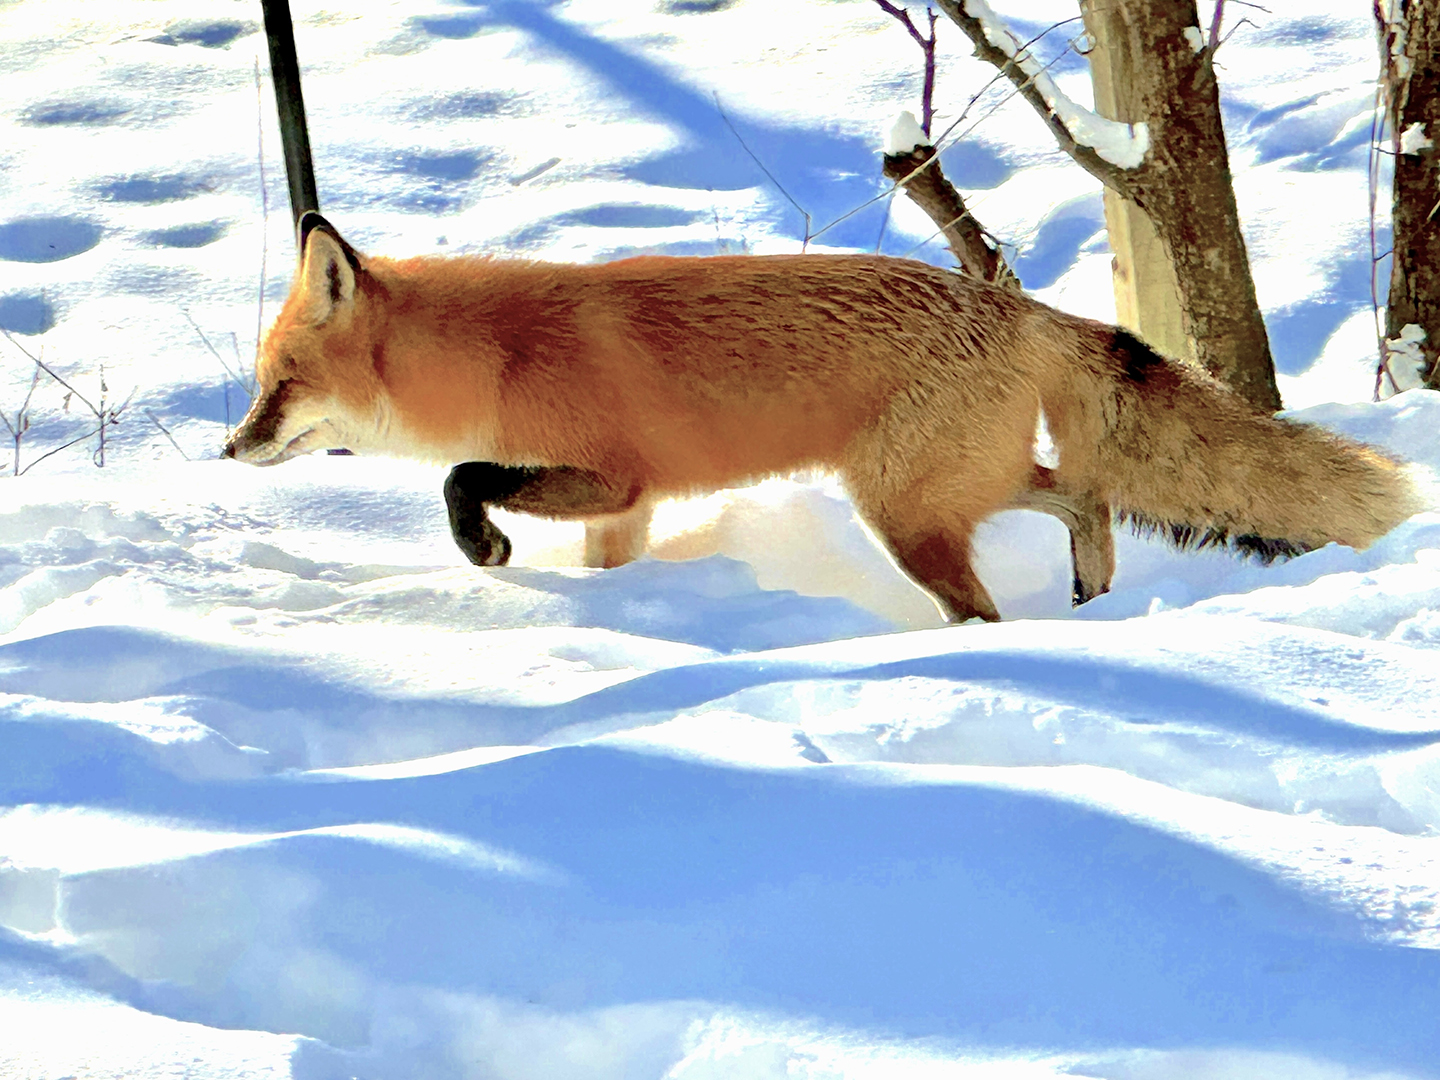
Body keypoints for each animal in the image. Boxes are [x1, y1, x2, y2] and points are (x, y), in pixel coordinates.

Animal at [224, 211, 1423, 623]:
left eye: (276, 383)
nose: (230, 445)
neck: (498, 357)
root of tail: (1020, 305)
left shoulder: (613, 476)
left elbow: (459, 478)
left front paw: (484, 549)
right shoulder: (627, 510)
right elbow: (594, 563)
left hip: (905, 511)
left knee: (990, 605)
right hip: (950, 487)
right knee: (1083, 494)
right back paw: (1091, 600)